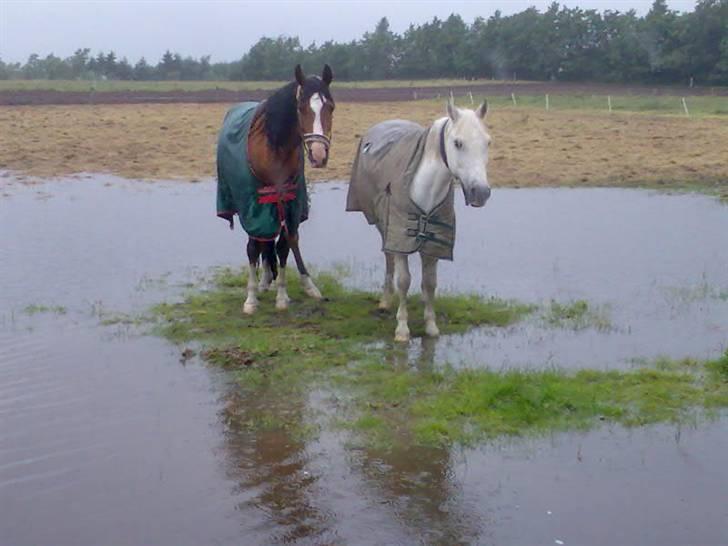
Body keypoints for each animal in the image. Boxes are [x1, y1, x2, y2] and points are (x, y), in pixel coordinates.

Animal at [216, 63, 336, 312]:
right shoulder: (253, 205)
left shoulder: (288, 202)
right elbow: (253, 247)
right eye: (301, 107)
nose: (319, 154)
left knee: (282, 241)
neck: (274, 150)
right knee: (262, 242)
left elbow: (284, 246)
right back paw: (262, 282)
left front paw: (282, 296)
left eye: (330, 107)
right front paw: (251, 298)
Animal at [346, 98, 490, 340]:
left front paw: (431, 326)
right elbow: (404, 281)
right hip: (384, 226)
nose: (481, 192)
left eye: (488, 142)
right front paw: (402, 329)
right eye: (458, 143)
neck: (424, 188)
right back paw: (386, 300)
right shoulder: (400, 237)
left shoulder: (434, 243)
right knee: (388, 256)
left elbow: (430, 283)